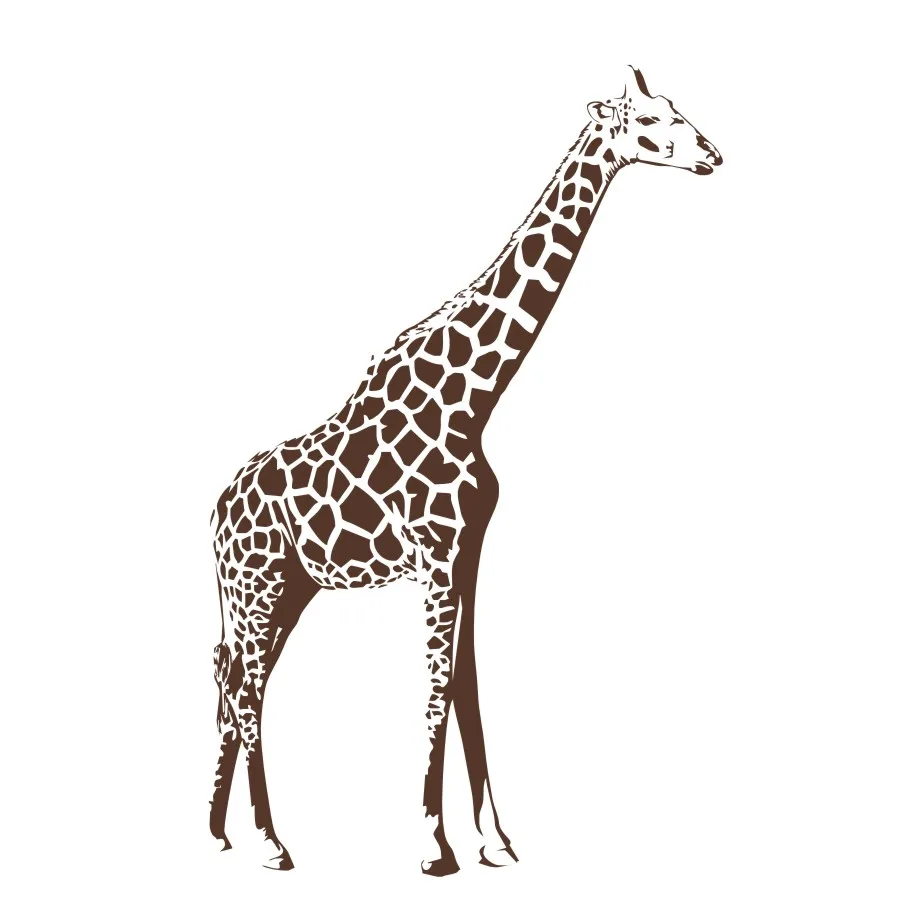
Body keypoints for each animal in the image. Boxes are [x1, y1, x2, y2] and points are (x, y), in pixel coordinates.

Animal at [209, 66, 723, 875]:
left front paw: (496, 841)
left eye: (674, 109)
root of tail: (210, 514)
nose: (711, 156)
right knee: (246, 690)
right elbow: (434, 684)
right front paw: (432, 844)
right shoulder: (435, 554)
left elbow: (465, 682)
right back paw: (269, 842)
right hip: (255, 586)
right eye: (648, 121)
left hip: (286, 589)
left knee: (235, 683)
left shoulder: (468, 548)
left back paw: (219, 831)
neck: (474, 398)